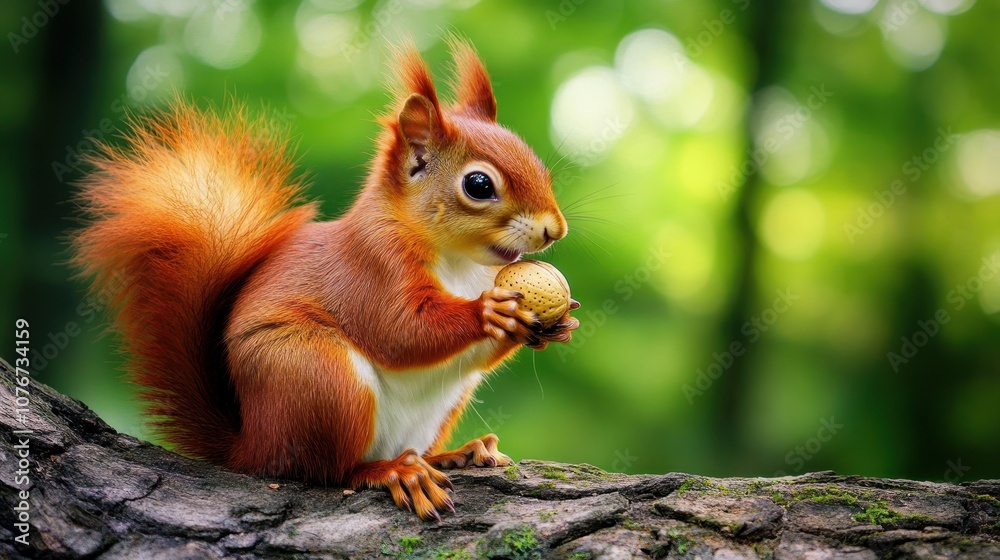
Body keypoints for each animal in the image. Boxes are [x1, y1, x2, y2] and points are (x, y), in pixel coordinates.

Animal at [71, 39, 579, 521]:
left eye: (539, 164)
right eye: (478, 185)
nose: (555, 229)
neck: (460, 262)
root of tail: (251, 446)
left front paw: (560, 324)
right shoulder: (370, 269)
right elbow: (401, 331)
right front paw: (489, 310)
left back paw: (455, 454)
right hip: (317, 375)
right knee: (329, 470)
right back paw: (391, 471)